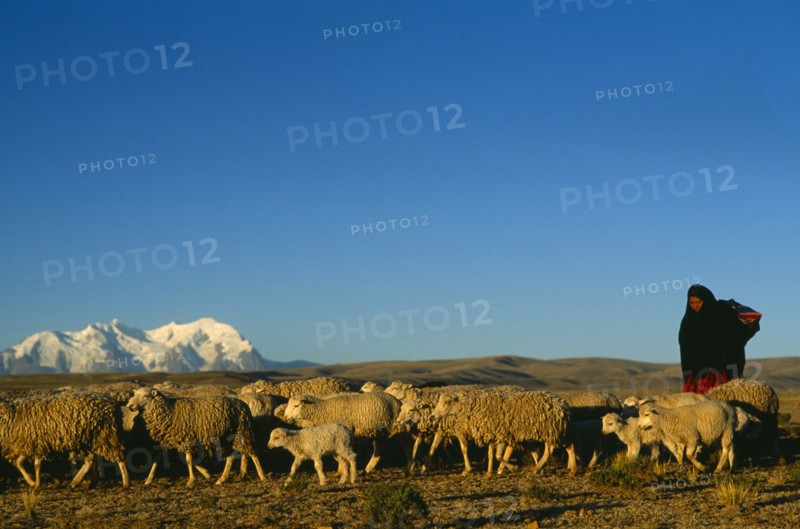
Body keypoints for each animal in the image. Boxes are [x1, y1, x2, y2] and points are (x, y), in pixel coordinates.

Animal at [0, 392, 130, 488]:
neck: (11, 415)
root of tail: (114, 403)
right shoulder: (27, 445)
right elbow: (18, 463)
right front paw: (32, 482)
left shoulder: (37, 444)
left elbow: (36, 465)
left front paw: (36, 484)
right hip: (89, 439)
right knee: (91, 459)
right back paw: (83, 482)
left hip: (107, 435)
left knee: (119, 457)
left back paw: (125, 482)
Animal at [125, 387, 266, 486]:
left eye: (146, 396)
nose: (130, 406)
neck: (169, 410)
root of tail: (243, 404)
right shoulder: (170, 439)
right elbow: (159, 458)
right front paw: (149, 479)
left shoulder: (187, 438)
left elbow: (188, 459)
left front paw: (191, 480)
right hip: (229, 437)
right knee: (231, 457)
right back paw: (222, 479)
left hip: (242, 431)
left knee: (253, 453)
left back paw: (262, 475)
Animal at [432, 389, 569, 475]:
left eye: (447, 402)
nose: (432, 416)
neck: (474, 408)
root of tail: (562, 403)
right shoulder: (493, 434)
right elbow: (491, 454)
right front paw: (489, 472)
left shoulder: (502, 435)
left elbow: (498, 456)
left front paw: (513, 468)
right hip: (544, 432)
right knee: (542, 450)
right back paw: (538, 468)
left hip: (550, 430)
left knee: (549, 450)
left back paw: (537, 468)